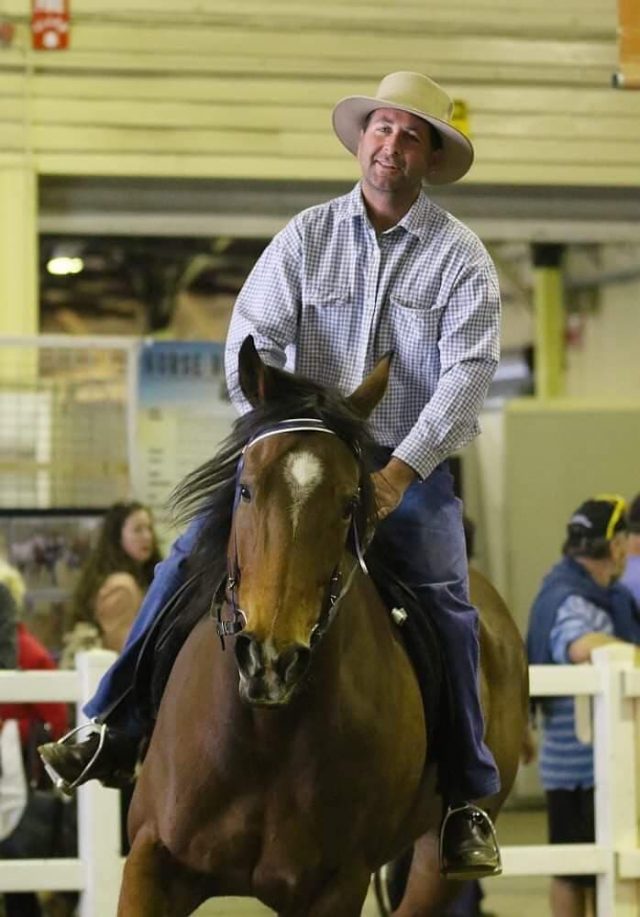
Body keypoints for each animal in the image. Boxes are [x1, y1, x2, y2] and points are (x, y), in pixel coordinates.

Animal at [117, 340, 528, 916]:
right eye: (246, 490)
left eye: (349, 503)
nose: (271, 659)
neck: (265, 733)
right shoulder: (152, 860)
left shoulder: (336, 886)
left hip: (434, 869)